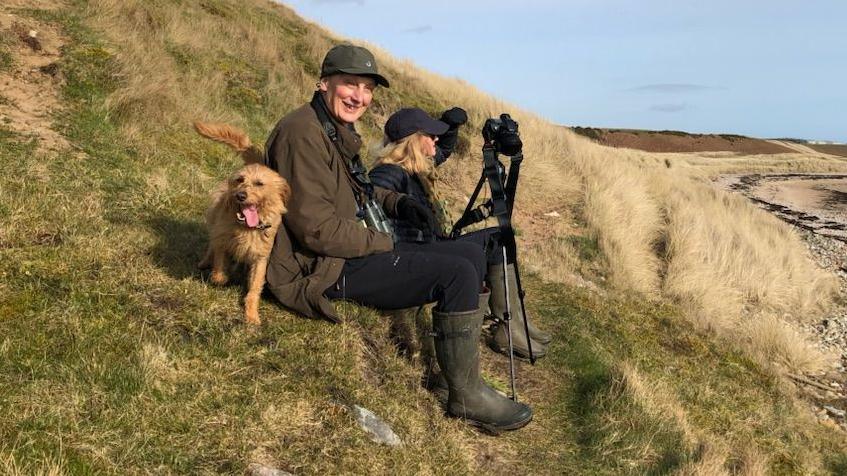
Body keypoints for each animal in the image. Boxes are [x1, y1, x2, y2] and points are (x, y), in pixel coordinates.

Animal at [195, 121, 292, 326]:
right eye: (240, 180)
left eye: (259, 183)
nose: (240, 195)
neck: (247, 228)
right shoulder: (223, 242)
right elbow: (219, 271)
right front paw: (221, 276)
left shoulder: (261, 258)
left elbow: (254, 289)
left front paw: (251, 314)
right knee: (211, 245)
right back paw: (205, 262)